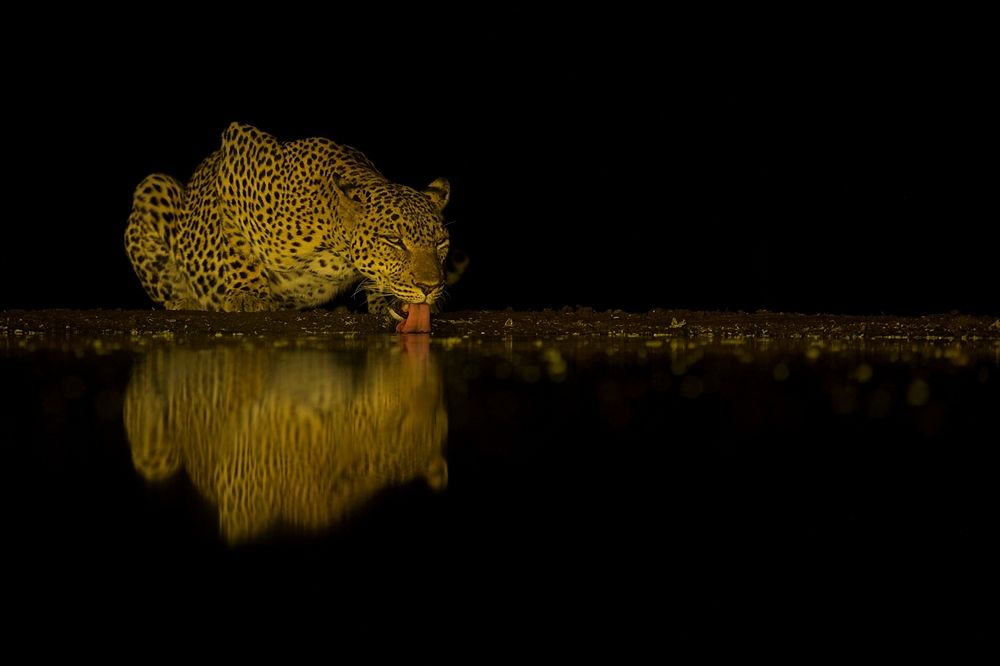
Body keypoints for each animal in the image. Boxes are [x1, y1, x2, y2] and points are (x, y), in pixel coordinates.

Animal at [124, 122, 465, 324]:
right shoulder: (235, 157)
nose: (430, 287)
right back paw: (185, 301)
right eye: (394, 240)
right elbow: (239, 251)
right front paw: (248, 295)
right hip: (153, 186)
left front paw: (390, 300)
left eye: (440, 243)